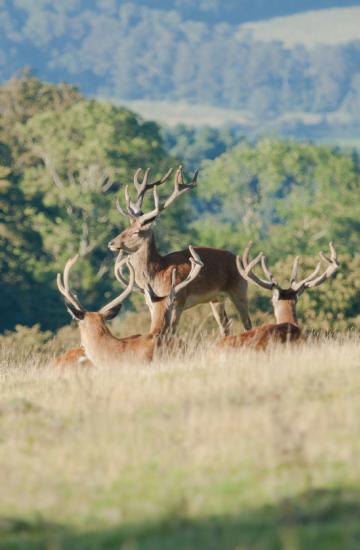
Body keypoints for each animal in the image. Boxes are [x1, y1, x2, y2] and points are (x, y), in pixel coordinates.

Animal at [108, 165, 252, 336]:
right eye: (127, 227)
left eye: (136, 231)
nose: (111, 243)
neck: (157, 274)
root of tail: (240, 260)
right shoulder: (151, 303)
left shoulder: (177, 300)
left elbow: (171, 330)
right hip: (216, 298)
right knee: (225, 326)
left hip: (239, 290)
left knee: (247, 323)